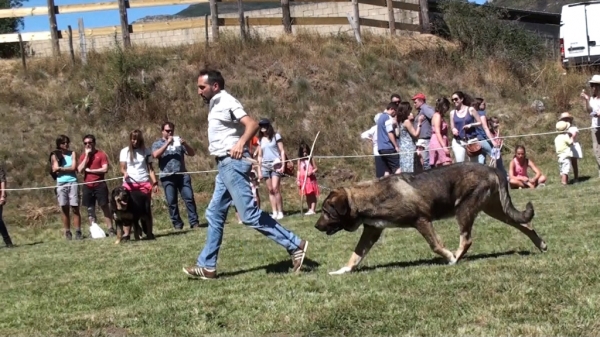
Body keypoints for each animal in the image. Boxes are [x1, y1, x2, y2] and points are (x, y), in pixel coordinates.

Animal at [314, 161, 548, 274]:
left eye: (326, 212)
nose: (316, 226)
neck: (369, 197)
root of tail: (491, 168)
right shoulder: (372, 231)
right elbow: (355, 256)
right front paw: (342, 270)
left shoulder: (422, 220)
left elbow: (435, 245)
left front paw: (448, 256)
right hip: (496, 209)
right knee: (525, 224)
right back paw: (541, 245)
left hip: (464, 210)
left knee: (467, 240)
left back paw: (455, 259)